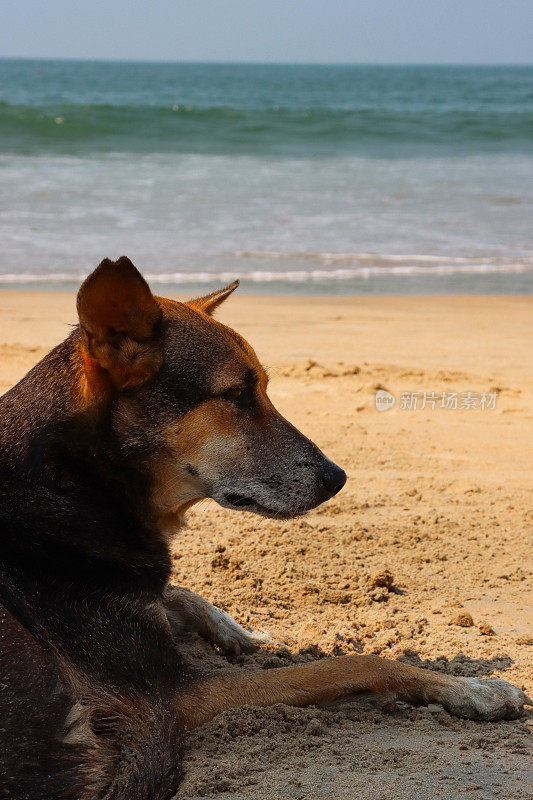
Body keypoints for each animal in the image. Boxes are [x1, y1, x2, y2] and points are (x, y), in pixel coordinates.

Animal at [0, 258, 528, 800]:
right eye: (236, 395)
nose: (337, 478)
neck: (81, 481)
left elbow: (182, 592)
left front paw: (243, 632)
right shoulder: (179, 695)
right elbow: (357, 662)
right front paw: (476, 690)